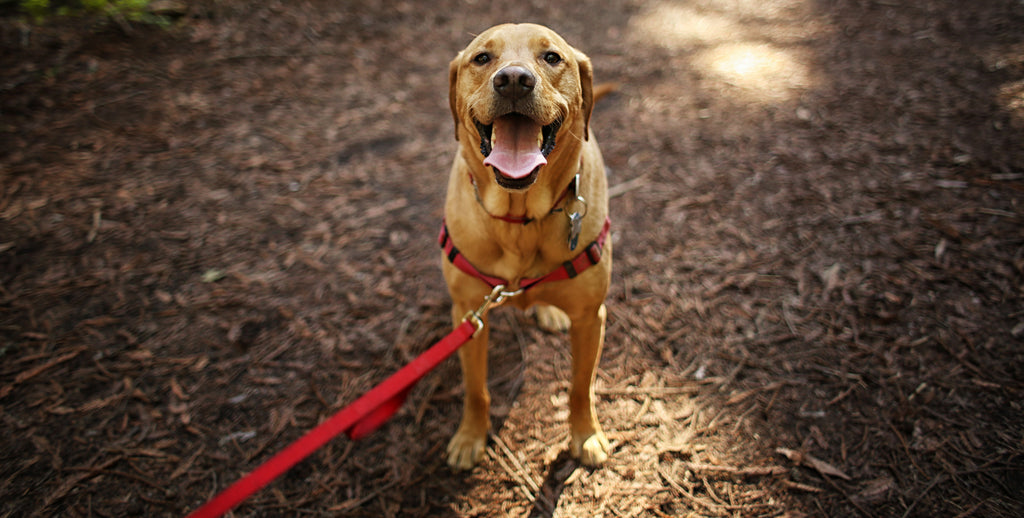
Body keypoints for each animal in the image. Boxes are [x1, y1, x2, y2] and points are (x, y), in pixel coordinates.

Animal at [438, 23, 610, 468]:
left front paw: (586, 436)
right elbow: (476, 389)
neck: (520, 220)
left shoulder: (591, 318)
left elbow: (580, 386)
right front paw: (470, 437)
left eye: (551, 57)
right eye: (482, 58)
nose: (514, 80)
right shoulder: (468, 316)